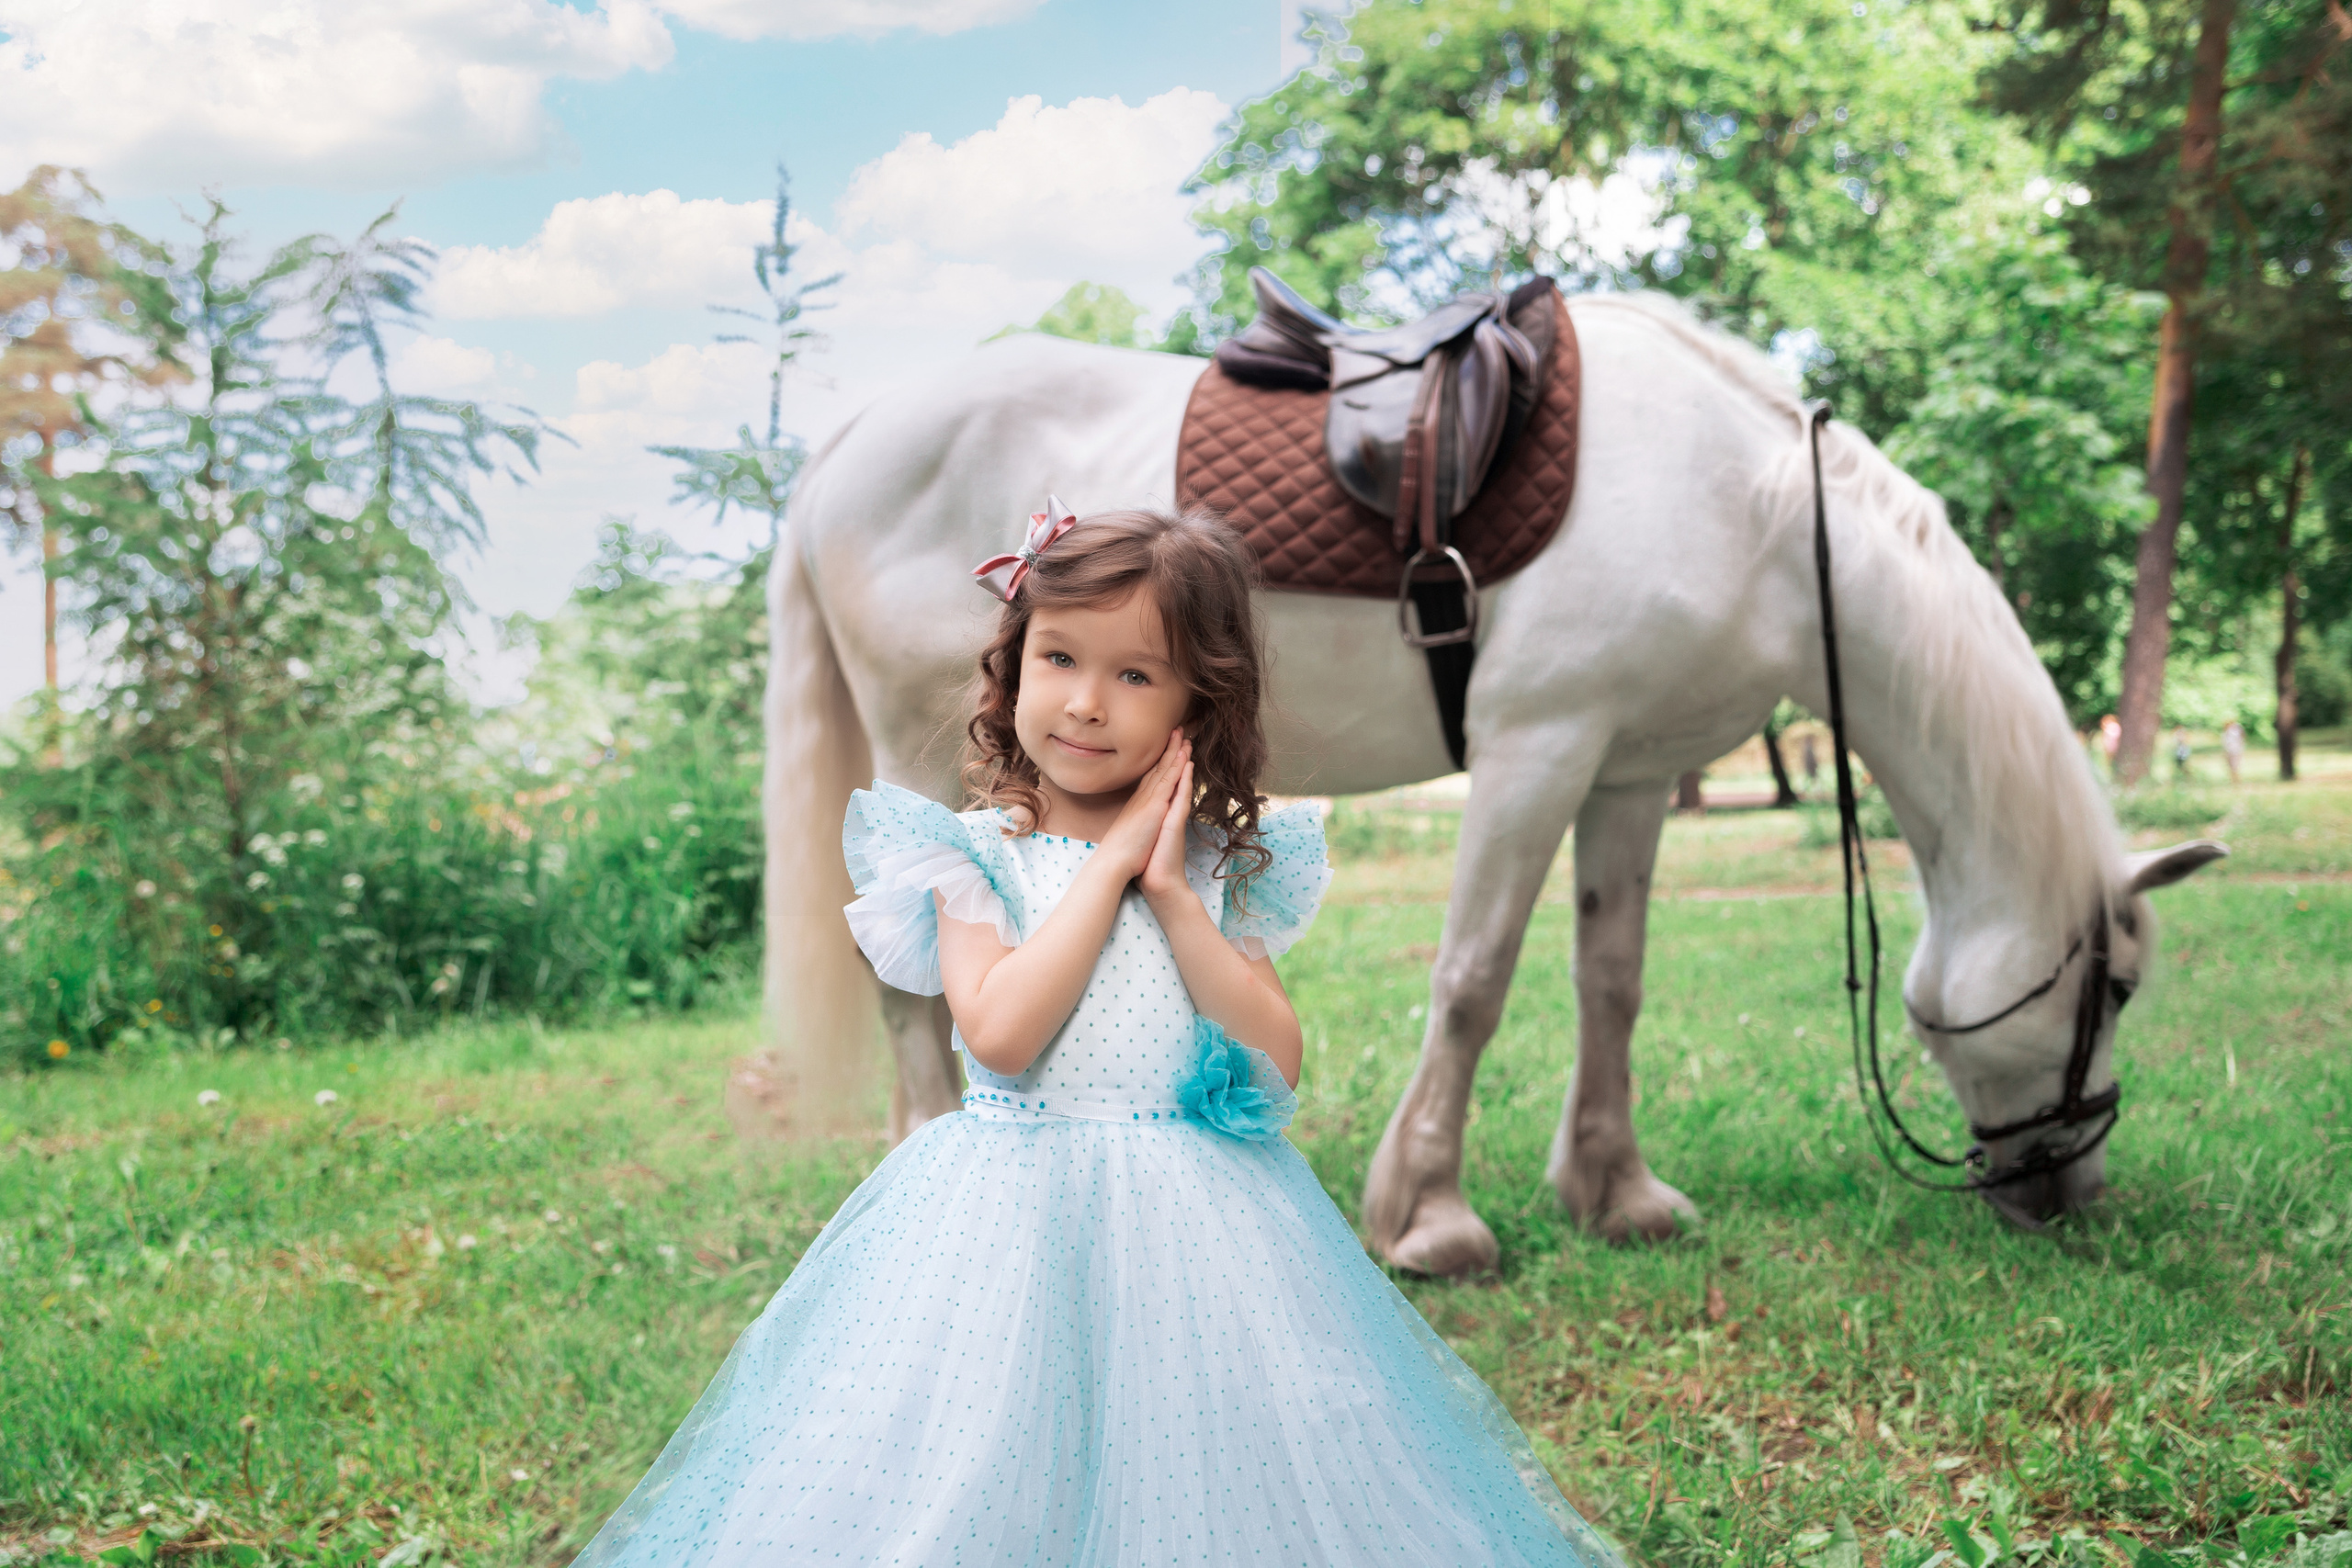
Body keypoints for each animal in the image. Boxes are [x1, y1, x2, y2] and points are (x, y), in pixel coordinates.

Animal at [753, 292, 2225, 1278]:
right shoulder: (1539, 747)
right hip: (928, 756)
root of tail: (857, 439)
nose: (2071, 1191)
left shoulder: (1629, 771)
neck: (1746, 509)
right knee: (917, 975)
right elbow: (1473, 980)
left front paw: (1614, 1192)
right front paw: (1431, 1217)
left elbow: (1610, 980)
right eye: (2116, 987)